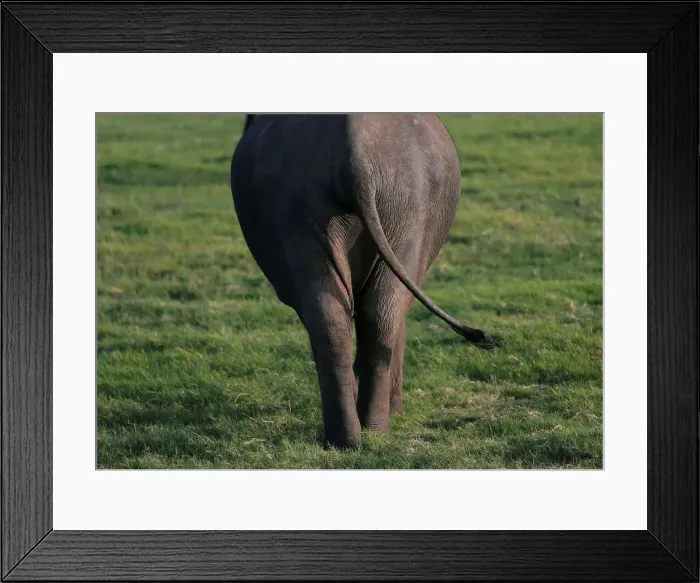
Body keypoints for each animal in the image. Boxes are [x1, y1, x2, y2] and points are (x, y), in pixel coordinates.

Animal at [230, 114, 501, 449]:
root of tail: (354, 158)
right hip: (403, 208)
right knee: (378, 311)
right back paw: (370, 429)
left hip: (312, 206)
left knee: (343, 315)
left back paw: (352, 436)